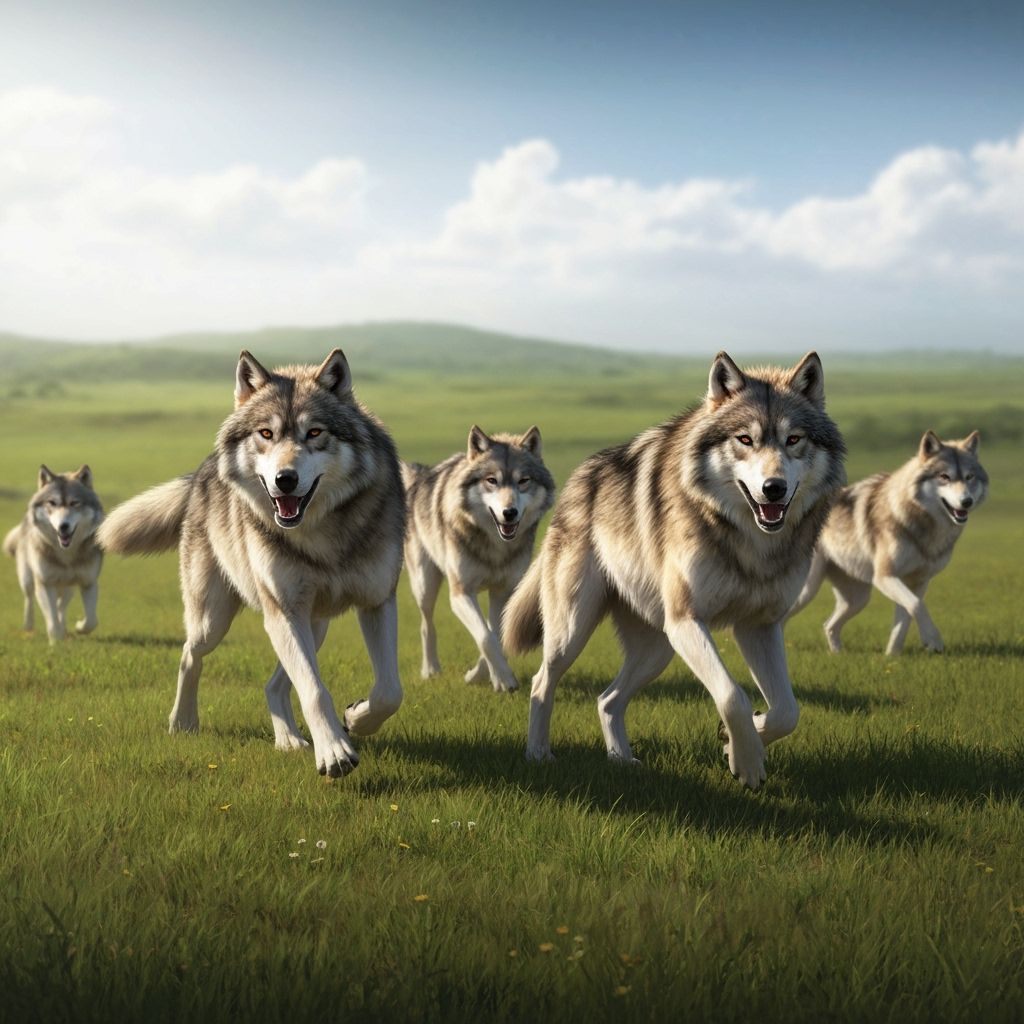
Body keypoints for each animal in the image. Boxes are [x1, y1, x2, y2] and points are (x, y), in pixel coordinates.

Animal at [4, 465, 104, 644]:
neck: (66, 555)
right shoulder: (45, 583)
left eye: (74, 503)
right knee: (29, 600)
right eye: (52, 503)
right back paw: (28, 627)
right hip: (27, 579)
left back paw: (64, 628)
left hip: (69, 588)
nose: (63, 526)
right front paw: (56, 644)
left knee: (61, 606)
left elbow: (91, 620)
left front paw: (78, 627)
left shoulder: (88, 582)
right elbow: (51, 619)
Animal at [97, 349, 405, 778]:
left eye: (314, 433)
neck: (322, 534)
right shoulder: (284, 610)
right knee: (190, 654)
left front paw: (356, 719)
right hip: (216, 620)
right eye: (266, 434)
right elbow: (314, 690)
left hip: (316, 624)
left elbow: (390, 690)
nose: (284, 479)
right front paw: (334, 753)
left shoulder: (378, 601)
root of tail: (204, 468)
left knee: (273, 685)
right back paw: (183, 722)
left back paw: (288, 740)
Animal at [402, 426, 555, 692]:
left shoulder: (503, 592)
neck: (494, 546)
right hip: (424, 585)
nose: (509, 513)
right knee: (426, 624)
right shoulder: (461, 592)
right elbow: (485, 636)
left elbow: (495, 636)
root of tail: (422, 475)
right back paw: (430, 670)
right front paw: (504, 680)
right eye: (491, 480)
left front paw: (479, 675)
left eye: (523, 481)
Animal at [503, 351, 846, 789]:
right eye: (745, 440)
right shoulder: (687, 620)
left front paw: (736, 741)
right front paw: (747, 761)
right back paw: (538, 754)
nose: (774, 488)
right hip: (576, 632)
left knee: (607, 699)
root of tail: (577, 479)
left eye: (793, 440)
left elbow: (788, 711)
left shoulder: (759, 626)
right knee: (541, 683)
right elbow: (732, 695)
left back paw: (621, 759)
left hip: (658, 649)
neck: (749, 541)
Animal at [787, 430, 988, 655]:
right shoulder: (885, 577)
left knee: (828, 625)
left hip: (858, 599)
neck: (922, 526)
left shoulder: (917, 582)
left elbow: (905, 619)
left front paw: (892, 656)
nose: (966, 502)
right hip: (806, 591)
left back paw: (837, 654)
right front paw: (933, 640)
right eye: (945, 477)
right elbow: (916, 606)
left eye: (969, 477)